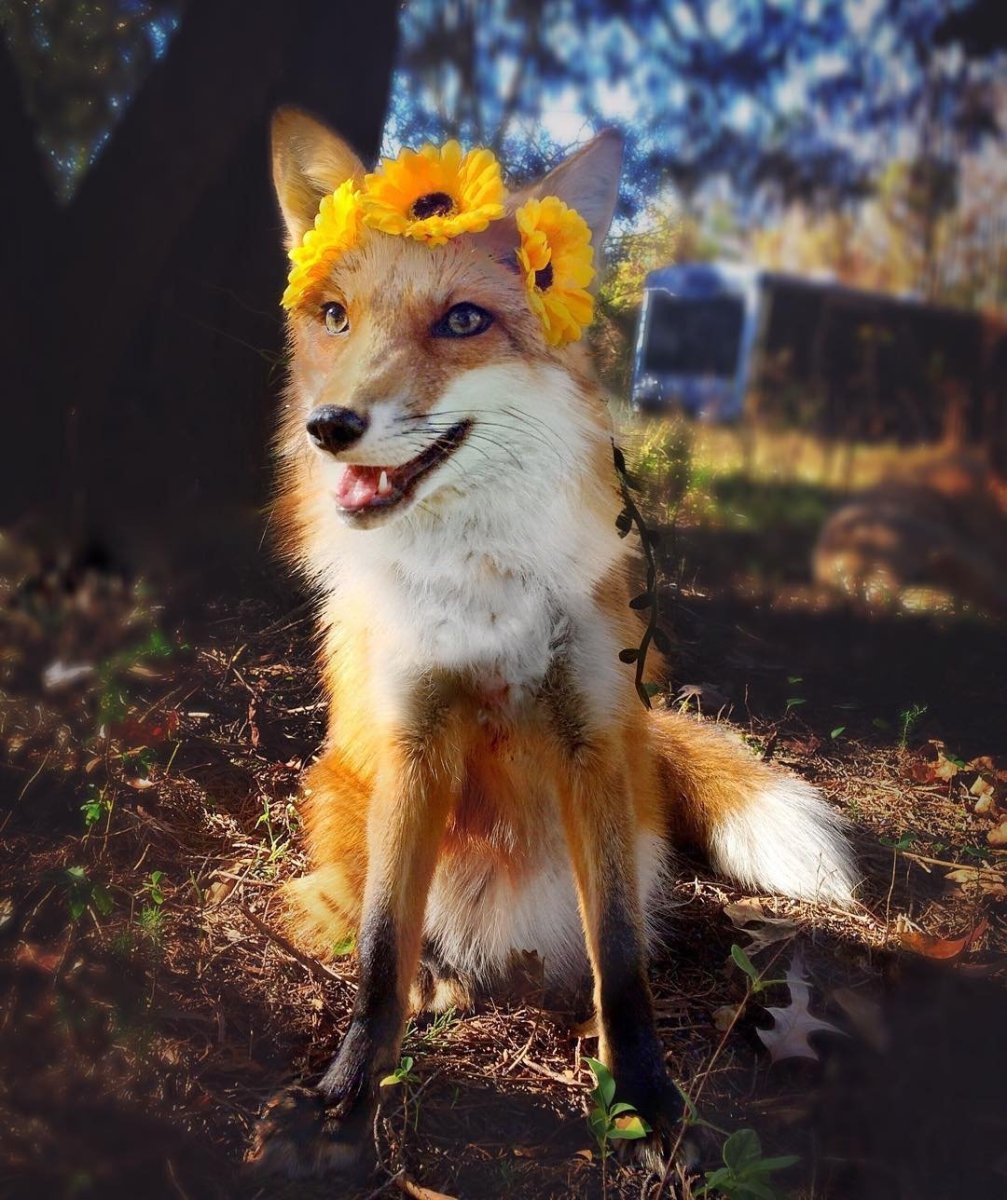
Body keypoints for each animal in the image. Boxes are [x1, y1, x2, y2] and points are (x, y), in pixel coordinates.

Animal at [251, 108, 858, 1177]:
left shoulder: (592, 738)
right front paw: (347, 1094)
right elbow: (377, 957)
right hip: (336, 793)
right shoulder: (414, 739)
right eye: (334, 317)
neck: (485, 589)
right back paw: (436, 979)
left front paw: (647, 1099)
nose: (331, 426)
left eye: (461, 321)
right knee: (364, 920)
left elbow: (620, 963)